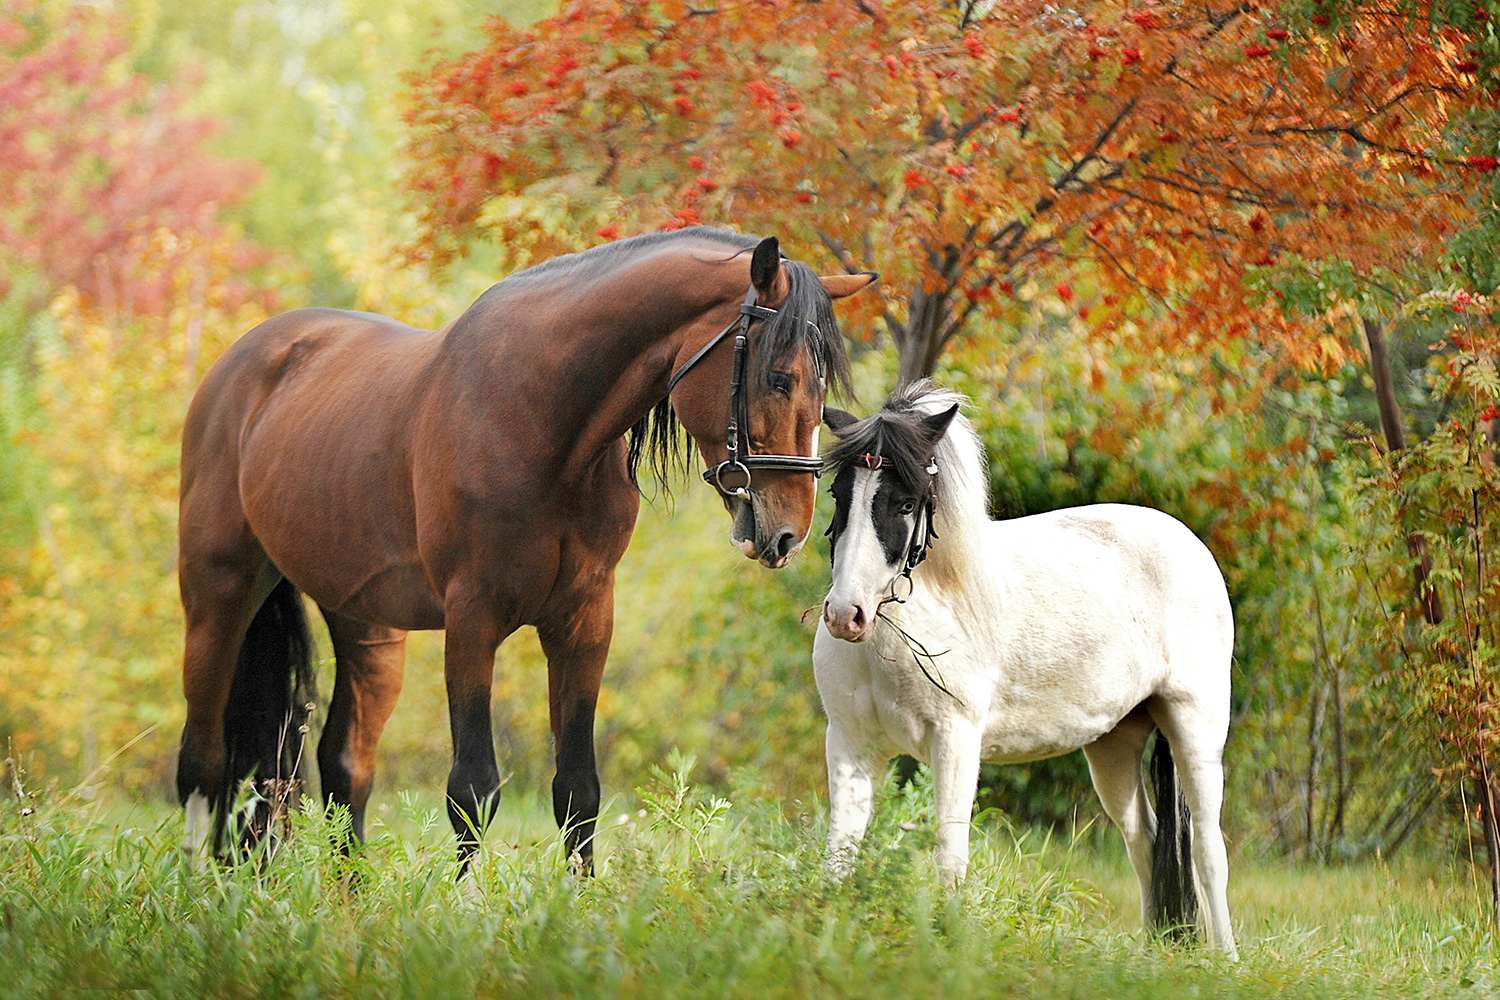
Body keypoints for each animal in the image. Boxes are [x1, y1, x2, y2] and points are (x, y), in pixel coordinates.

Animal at [174, 228, 876, 870]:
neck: (544, 423)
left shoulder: (584, 622)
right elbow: (473, 790)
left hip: (367, 626)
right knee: (202, 763)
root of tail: (242, 364)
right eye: (779, 377)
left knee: (345, 767)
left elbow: (578, 790)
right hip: (217, 600)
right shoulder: (472, 619)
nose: (788, 531)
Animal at [812, 381, 1237, 956]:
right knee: (1145, 841)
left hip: (1196, 729)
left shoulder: (955, 741)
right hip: (1114, 747)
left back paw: (1227, 958)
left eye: (904, 502)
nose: (844, 614)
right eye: (839, 494)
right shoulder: (852, 745)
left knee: (1208, 851)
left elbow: (950, 852)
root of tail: (1190, 546)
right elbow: (840, 852)